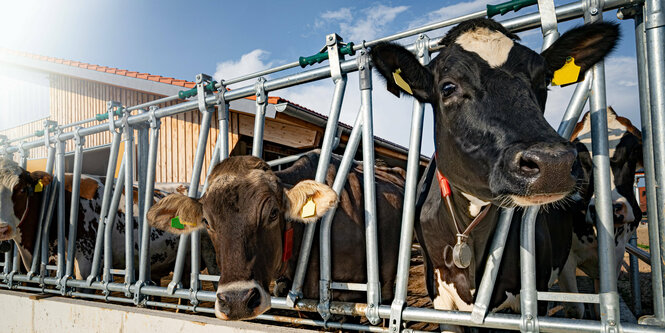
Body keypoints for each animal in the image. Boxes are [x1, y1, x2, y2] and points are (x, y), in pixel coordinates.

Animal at [560, 107, 644, 318]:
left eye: (633, 152)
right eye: (580, 158)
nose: (613, 208)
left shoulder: (616, 255)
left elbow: (601, 309)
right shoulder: (565, 260)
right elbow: (575, 309)